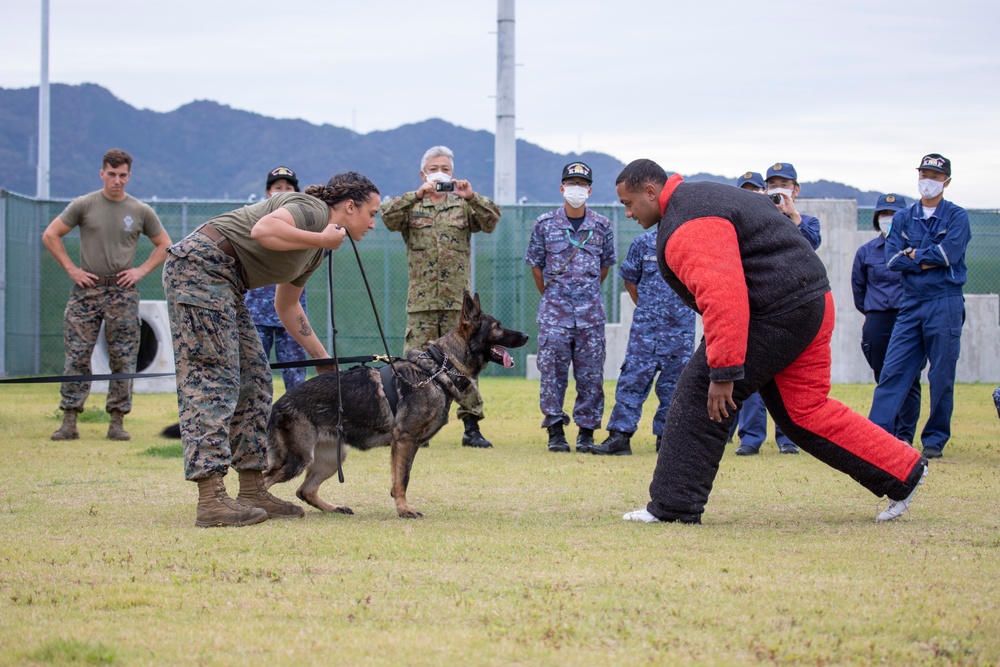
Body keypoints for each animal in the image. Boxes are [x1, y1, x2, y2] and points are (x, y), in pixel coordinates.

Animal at [264, 294, 532, 520]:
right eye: (497, 326)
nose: (527, 336)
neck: (440, 368)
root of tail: (276, 405)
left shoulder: (408, 444)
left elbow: (400, 478)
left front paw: (400, 505)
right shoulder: (404, 440)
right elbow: (402, 479)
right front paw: (404, 510)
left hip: (333, 457)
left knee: (304, 490)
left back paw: (334, 508)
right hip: (297, 459)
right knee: (265, 481)